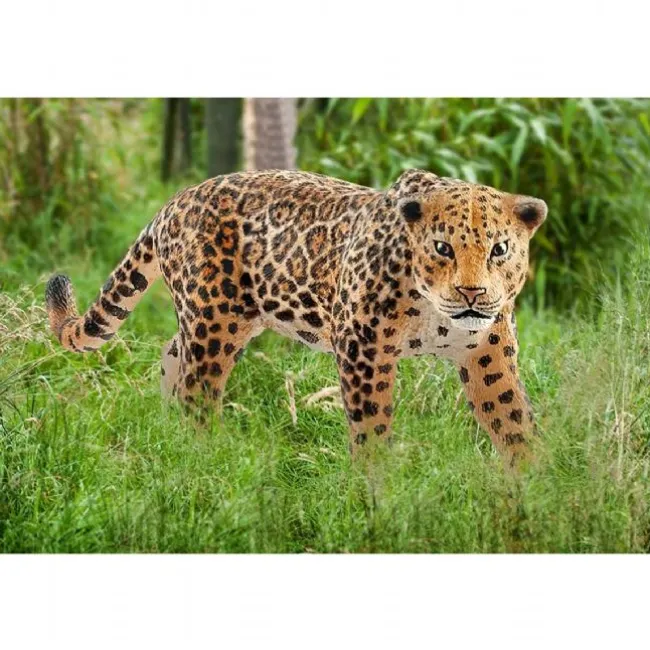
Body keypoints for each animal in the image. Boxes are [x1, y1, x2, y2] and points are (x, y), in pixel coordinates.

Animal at [45, 168, 547, 467]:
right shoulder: (362, 348)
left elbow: (513, 418)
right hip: (215, 321)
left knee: (172, 360)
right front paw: (378, 490)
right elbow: (371, 426)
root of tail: (172, 203)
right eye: (443, 248)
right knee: (197, 392)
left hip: (216, 322)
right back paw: (204, 460)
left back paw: (170, 438)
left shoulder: (488, 354)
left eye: (500, 249)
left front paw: (535, 484)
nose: (472, 293)